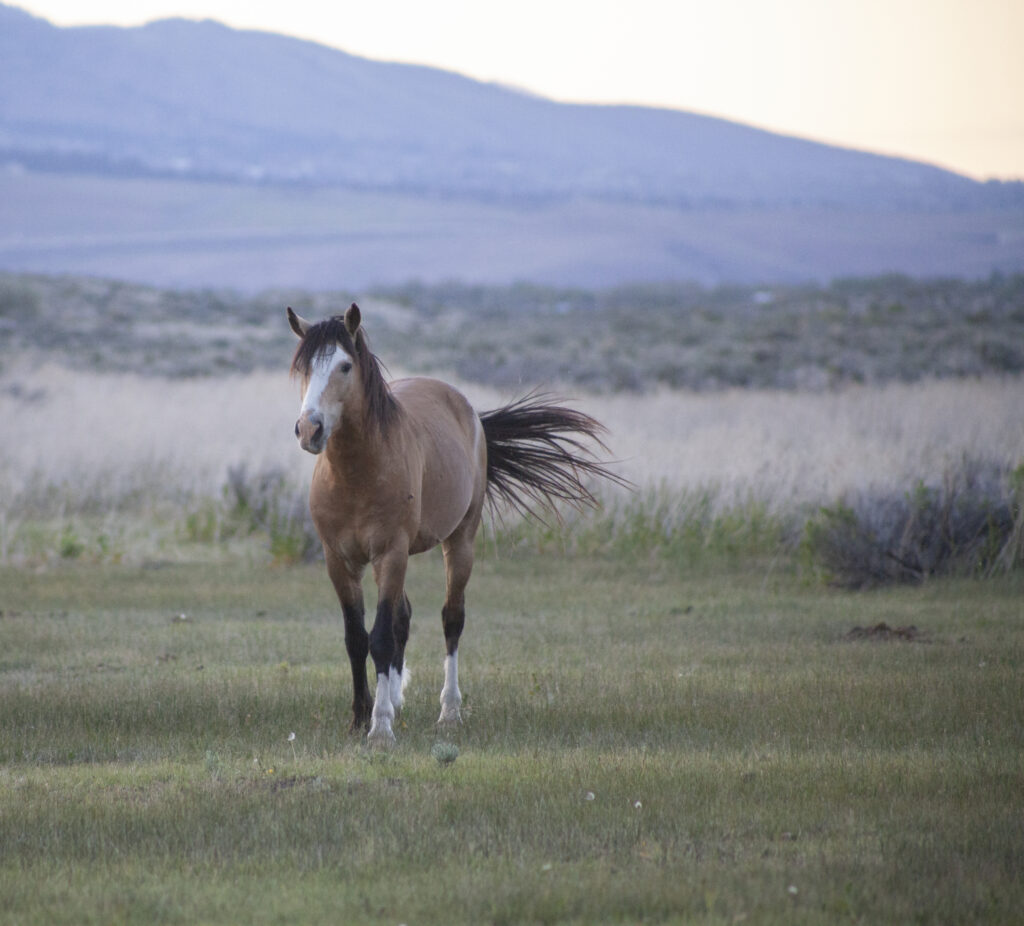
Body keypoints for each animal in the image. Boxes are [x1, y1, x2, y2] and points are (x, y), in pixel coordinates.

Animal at [287, 303, 624, 746]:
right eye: (303, 367)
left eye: (344, 366)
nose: (310, 429)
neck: (356, 474)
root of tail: (466, 409)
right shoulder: (339, 560)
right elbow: (357, 638)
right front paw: (361, 717)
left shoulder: (391, 552)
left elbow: (381, 637)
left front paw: (380, 729)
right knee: (403, 617)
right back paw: (396, 700)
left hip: (459, 541)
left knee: (451, 619)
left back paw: (449, 711)